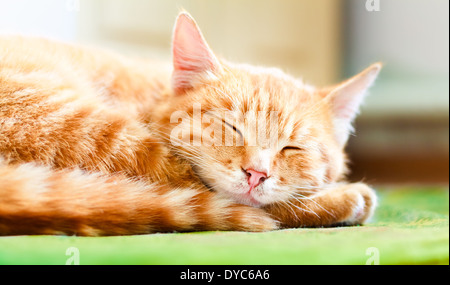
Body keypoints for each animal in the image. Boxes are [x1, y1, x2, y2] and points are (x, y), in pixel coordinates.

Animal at [0, 12, 380, 235]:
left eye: (293, 147)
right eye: (230, 127)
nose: (256, 174)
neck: (153, 95)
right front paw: (341, 197)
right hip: (104, 136)